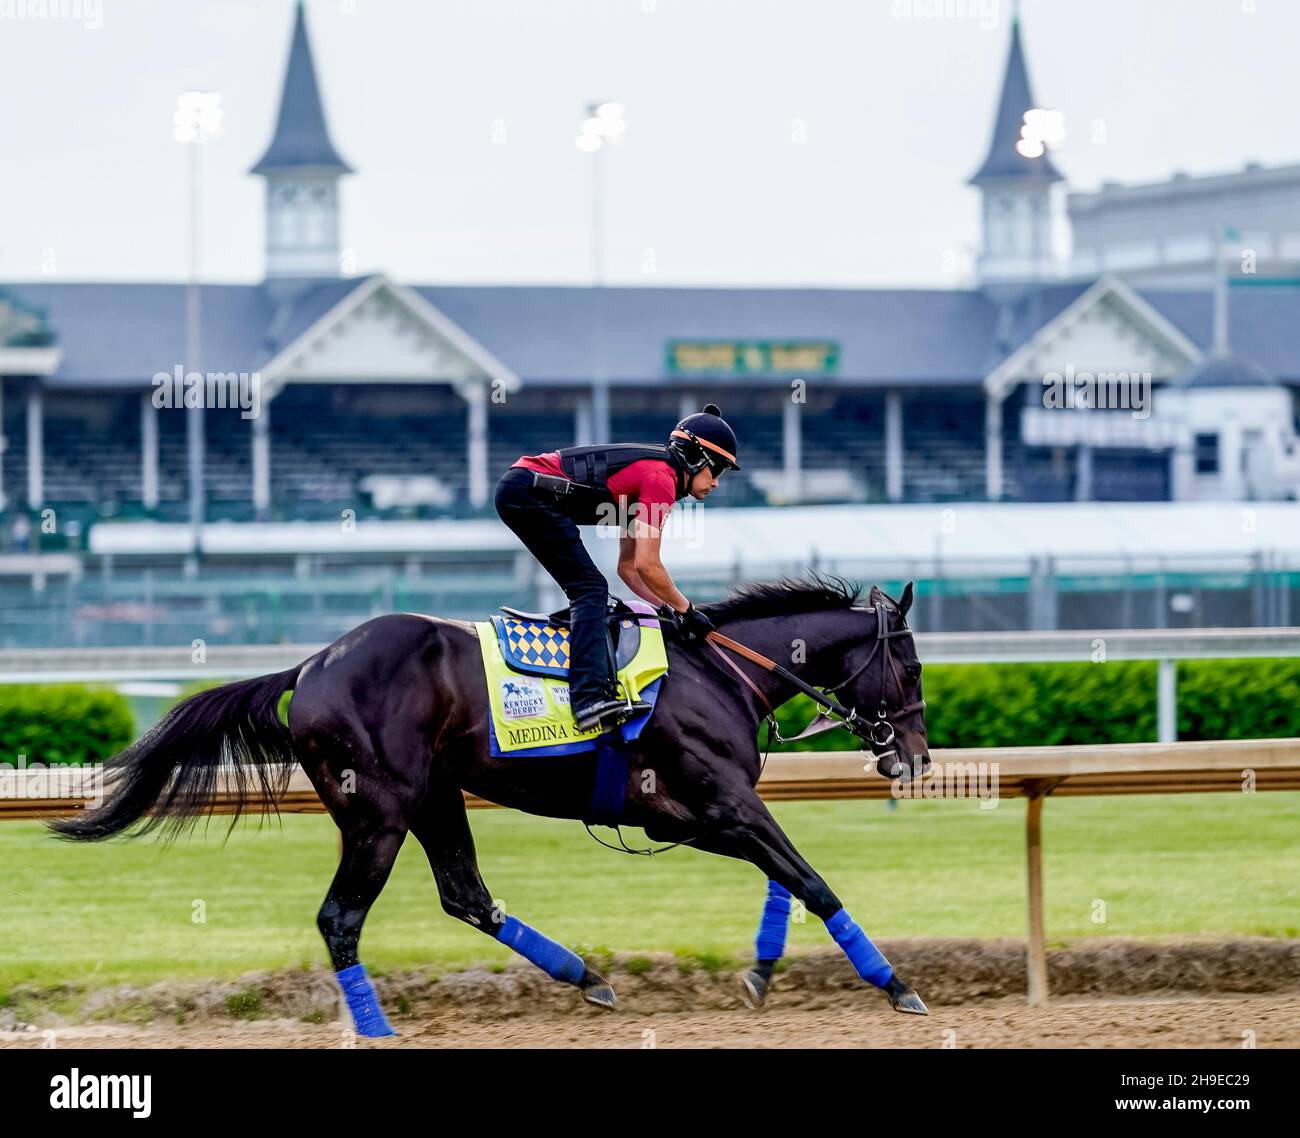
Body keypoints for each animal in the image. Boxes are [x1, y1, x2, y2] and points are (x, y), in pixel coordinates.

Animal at [45, 577, 930, 1030]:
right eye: (914, 667)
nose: (917, 757)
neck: (718, 670)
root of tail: (312, 665)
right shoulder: (712, 805)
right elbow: (813, 881)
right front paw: (896, 985)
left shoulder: (692, 816)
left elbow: (786, 877)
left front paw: (761, 972)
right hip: (379, 811)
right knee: (340, 919)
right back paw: (379, 1030)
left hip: (435, 795)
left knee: (466, 894)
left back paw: (586, 976)